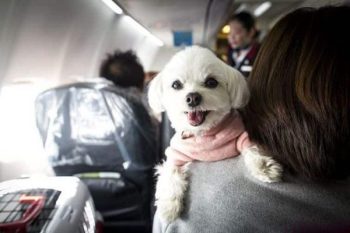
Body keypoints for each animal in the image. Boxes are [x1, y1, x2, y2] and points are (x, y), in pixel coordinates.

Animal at [147, 45, 282, 222]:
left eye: (211, 82)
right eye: (176, 84)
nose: (192, 97)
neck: (204, 134)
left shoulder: (240, 135)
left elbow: (251, 148)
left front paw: (264, 167)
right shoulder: (176, 155)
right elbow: (170, 174)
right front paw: (168, 206)